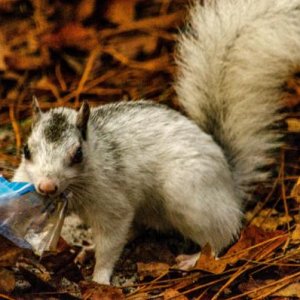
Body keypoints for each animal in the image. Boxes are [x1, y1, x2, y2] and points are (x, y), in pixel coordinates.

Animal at [12, 0, 300, 284]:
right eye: (26, 150)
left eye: (78, 154)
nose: (46, 186)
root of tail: (228, 175)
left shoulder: (112, 203)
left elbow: (111, 241)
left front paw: (100, 279)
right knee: (139, 228)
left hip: (187, 195)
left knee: (223, 234)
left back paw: (194, 258)